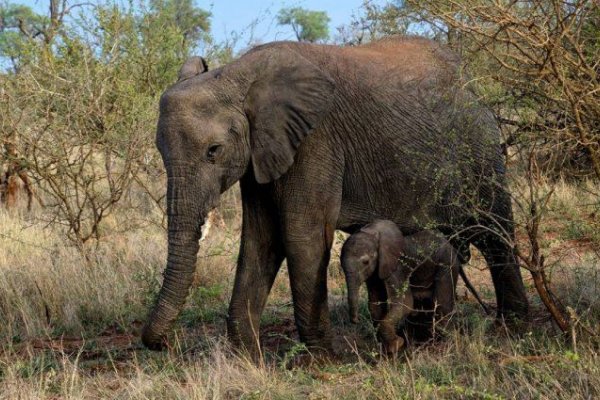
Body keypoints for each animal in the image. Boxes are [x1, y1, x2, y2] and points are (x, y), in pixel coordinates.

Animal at [342, 219, 460, 354]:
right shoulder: (375, 273)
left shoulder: (397, 267)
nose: (356, 320)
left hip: (447, 264)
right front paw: (387, 350)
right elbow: (375, 305)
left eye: (365, 262)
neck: (373, 233)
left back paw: (444, 347)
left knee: (442, 305)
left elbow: (405, 303)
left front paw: (396, 344)